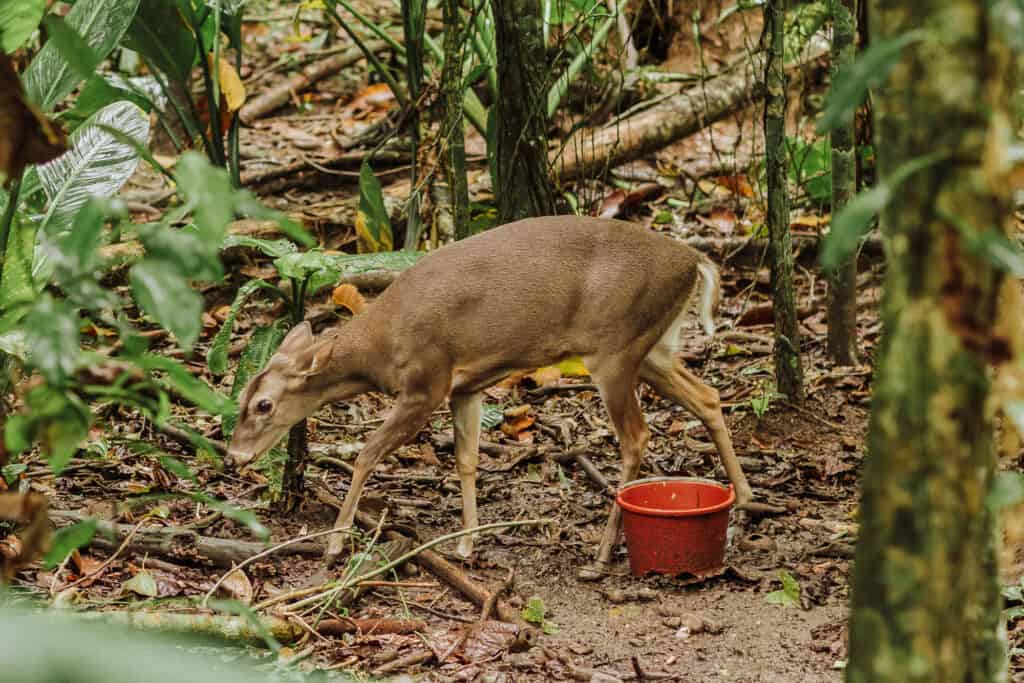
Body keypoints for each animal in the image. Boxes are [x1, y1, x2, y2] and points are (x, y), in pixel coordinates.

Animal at [226, 216, 754, 580]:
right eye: (242, 395)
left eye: (264, 404)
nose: (233, 456)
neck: (380, 348)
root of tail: (693, 261)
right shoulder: (466, 386)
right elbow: (466, 460)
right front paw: (467, 544)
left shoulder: (426, 383)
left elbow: (367, 454)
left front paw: (335, 543)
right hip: (652, 348)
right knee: (708, 396)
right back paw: (744, 503)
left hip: (616, 347)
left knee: (637, 438)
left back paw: (603, 555)